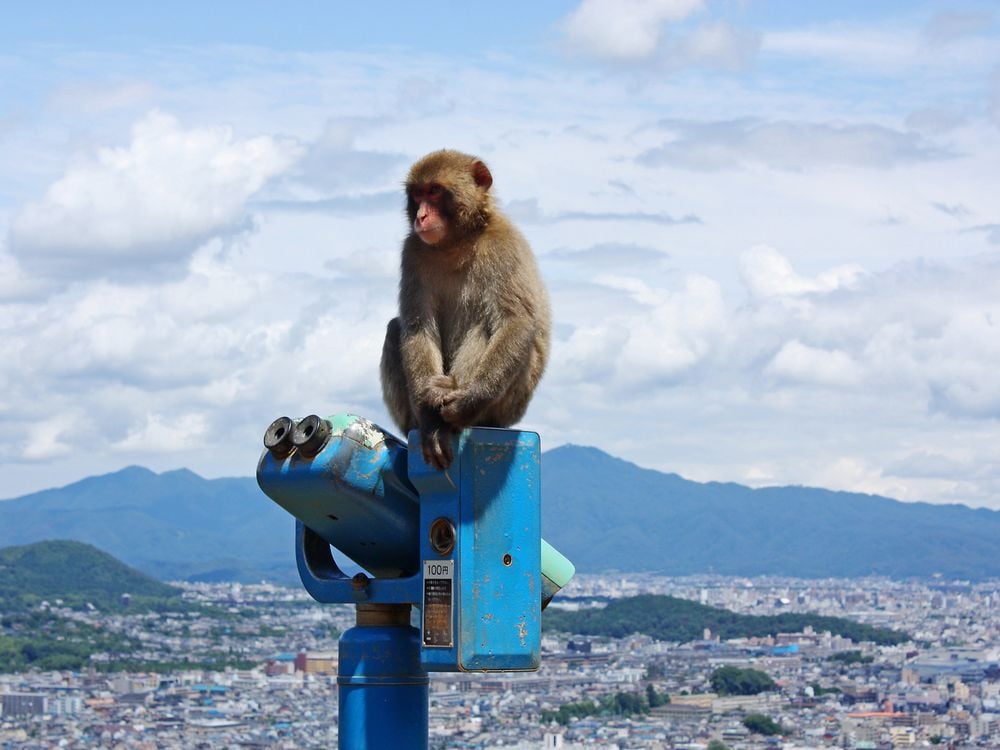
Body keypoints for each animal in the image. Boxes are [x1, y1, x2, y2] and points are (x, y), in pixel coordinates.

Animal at [378, 148, 552, 470]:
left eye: (434, 191)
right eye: (418, 194)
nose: (421, 216)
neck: (456, 241)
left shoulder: (503, 244)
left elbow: (516, 321)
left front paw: (469, 400)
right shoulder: (412, 251)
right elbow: (417, 327)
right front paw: (431, 422)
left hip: (508, 406)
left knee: (486, 327)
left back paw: (453, 397)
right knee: (396, 328)